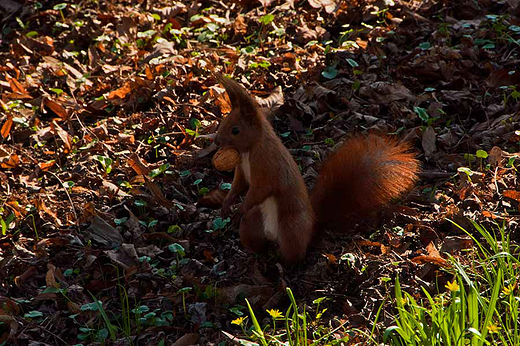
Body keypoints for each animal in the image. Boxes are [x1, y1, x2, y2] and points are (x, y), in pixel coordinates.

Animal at [212, 75, 418, 262]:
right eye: (223, 121)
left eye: (235, 130)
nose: (217, 141)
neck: (251, 148)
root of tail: (313, 225)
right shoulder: (242, 167)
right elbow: (239, 184)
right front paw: (227, 204)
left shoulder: (267, 165)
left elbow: (260, 190)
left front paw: (240, 208)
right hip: (253, 224)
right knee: (256, 239)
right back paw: (260, 254)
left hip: (291, 228)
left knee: (294, 254)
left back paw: (281, 261)